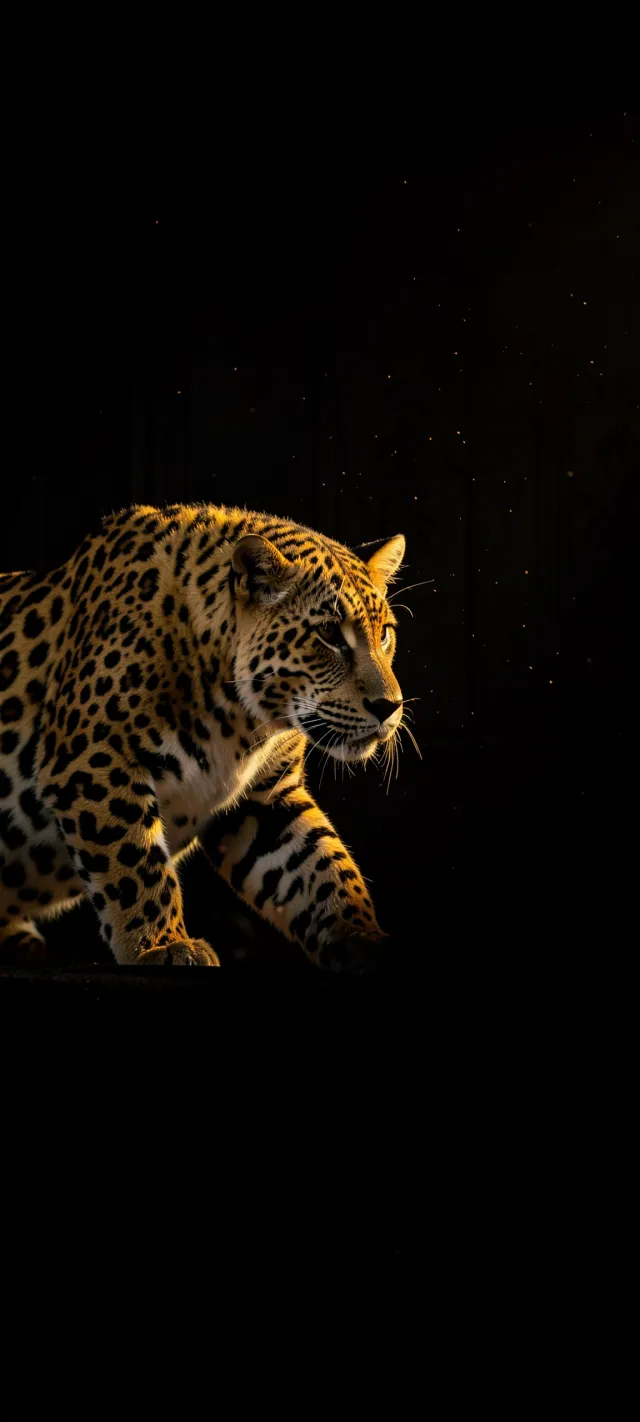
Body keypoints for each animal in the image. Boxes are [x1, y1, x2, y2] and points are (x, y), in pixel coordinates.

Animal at [0, 502, 407, 972]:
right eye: (328, 635)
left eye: (384, 633)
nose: (390, 706)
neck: (243, 721)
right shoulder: (92, 760)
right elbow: (135, 863)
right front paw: (163, 945)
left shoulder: (267, 801)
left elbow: (324, 871)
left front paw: (366, 941)